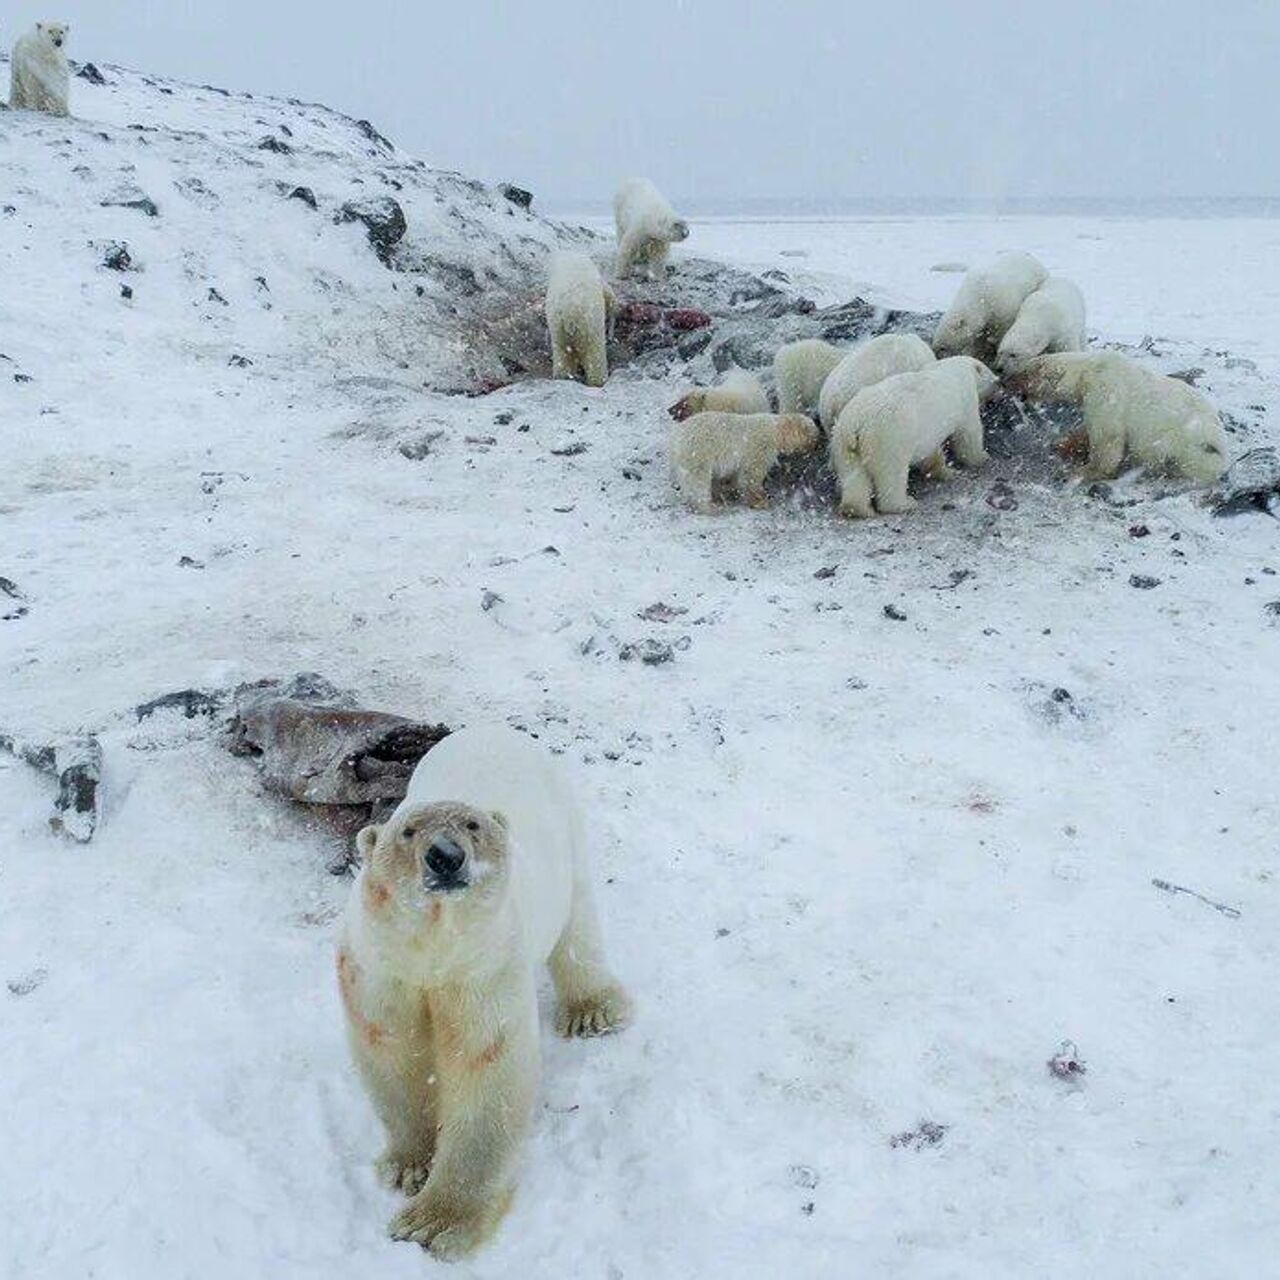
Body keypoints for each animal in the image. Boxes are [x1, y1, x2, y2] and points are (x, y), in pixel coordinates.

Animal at [337, 727, 632, 1254]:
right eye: (407, 831)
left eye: (472, 825)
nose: (445, 856)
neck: (432, 948)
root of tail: (493, 730)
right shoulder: (380, 969)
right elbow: (392, 1053)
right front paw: (409, 1167)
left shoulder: (483, 970)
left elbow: (485, 1069)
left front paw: (434, 1223)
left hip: (565, 828)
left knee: (578, 922)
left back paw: (592, 1010)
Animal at [542, 249, 616, 386]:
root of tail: (570, 315)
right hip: (589, 325)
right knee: (595, 355)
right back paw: (599, 381)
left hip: (558, 328)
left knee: (562, 355)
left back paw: (563, 377)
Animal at [670, 409, 819, 509]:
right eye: (813, 435)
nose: (816, 446)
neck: (776, 429)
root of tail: (674, 440)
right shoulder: (760, 447)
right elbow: (752, 473)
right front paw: (761, 500)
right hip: (698, 451)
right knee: (698, 480)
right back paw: (709, 506)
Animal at [829, 353, 998, 517]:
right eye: (992, 379)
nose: (998, 381)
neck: (957, 367)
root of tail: (858, 423)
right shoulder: (965, 398)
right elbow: (969, 433)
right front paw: (982, 457)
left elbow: (931, 450)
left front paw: (942, 470)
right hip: (889, 436)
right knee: (892, 473)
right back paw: (904, 504)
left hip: (843, 443)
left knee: (854, 475)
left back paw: (858, 509)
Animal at [1003, 353, 1223, 481]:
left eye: (1022, 373)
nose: (1004, 379)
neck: (1088, 369)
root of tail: (1223, 453)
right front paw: (1063, 445)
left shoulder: (1105, 389)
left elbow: (1107, 435)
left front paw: (1087, 470)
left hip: (1183, 444)